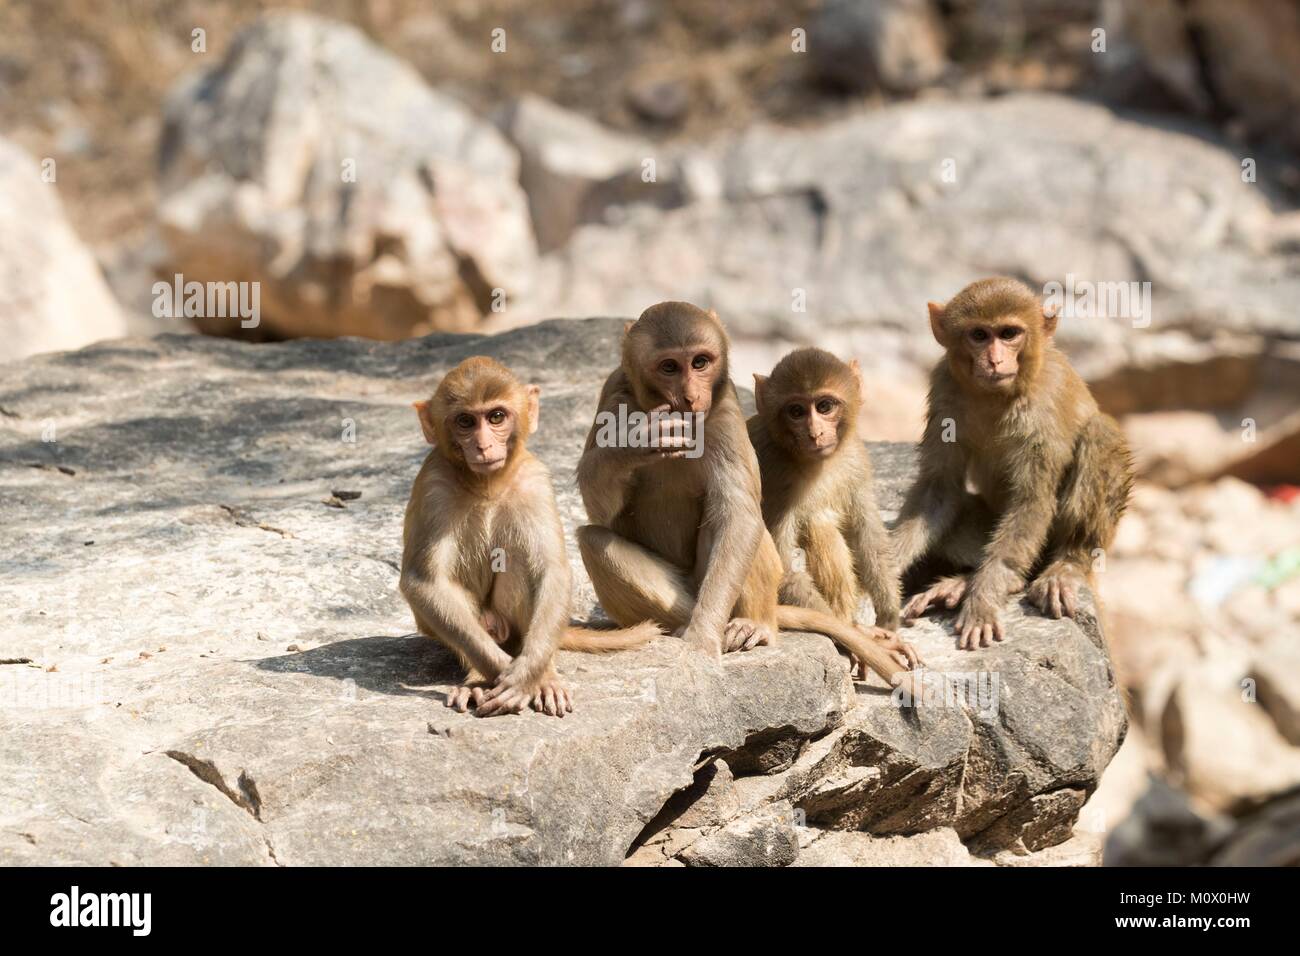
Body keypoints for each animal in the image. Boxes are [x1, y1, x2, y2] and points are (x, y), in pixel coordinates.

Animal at [397, 358, 665, 717]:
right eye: (465, 421)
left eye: (496, 416)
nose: (483, 445)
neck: (487, 485)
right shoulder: (432, 484)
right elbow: (424, 582)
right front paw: (507, 677)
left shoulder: (535, 480)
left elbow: (552, 571)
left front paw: (529, 678)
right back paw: (477, 680)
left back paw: (545, 674)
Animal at [748, 348, 920, 671]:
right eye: (796, 412)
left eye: (825, 406)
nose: (815, 433)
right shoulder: (769, 472)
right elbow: (782, 567)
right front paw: (862, 636)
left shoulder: (854, 455)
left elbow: (868, 536)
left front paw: (889, 615)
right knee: (818, 523)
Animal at [899, 277, 1133, 650]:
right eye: (979, 335)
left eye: (1009, 333)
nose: (995, 360)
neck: (997, 395)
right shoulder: (944, 387)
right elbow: (938, 491)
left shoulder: (1042, 403)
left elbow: (1031, 500)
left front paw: (983, 600)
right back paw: (962, 582)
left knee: (1100, 432)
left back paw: (1066, 563)